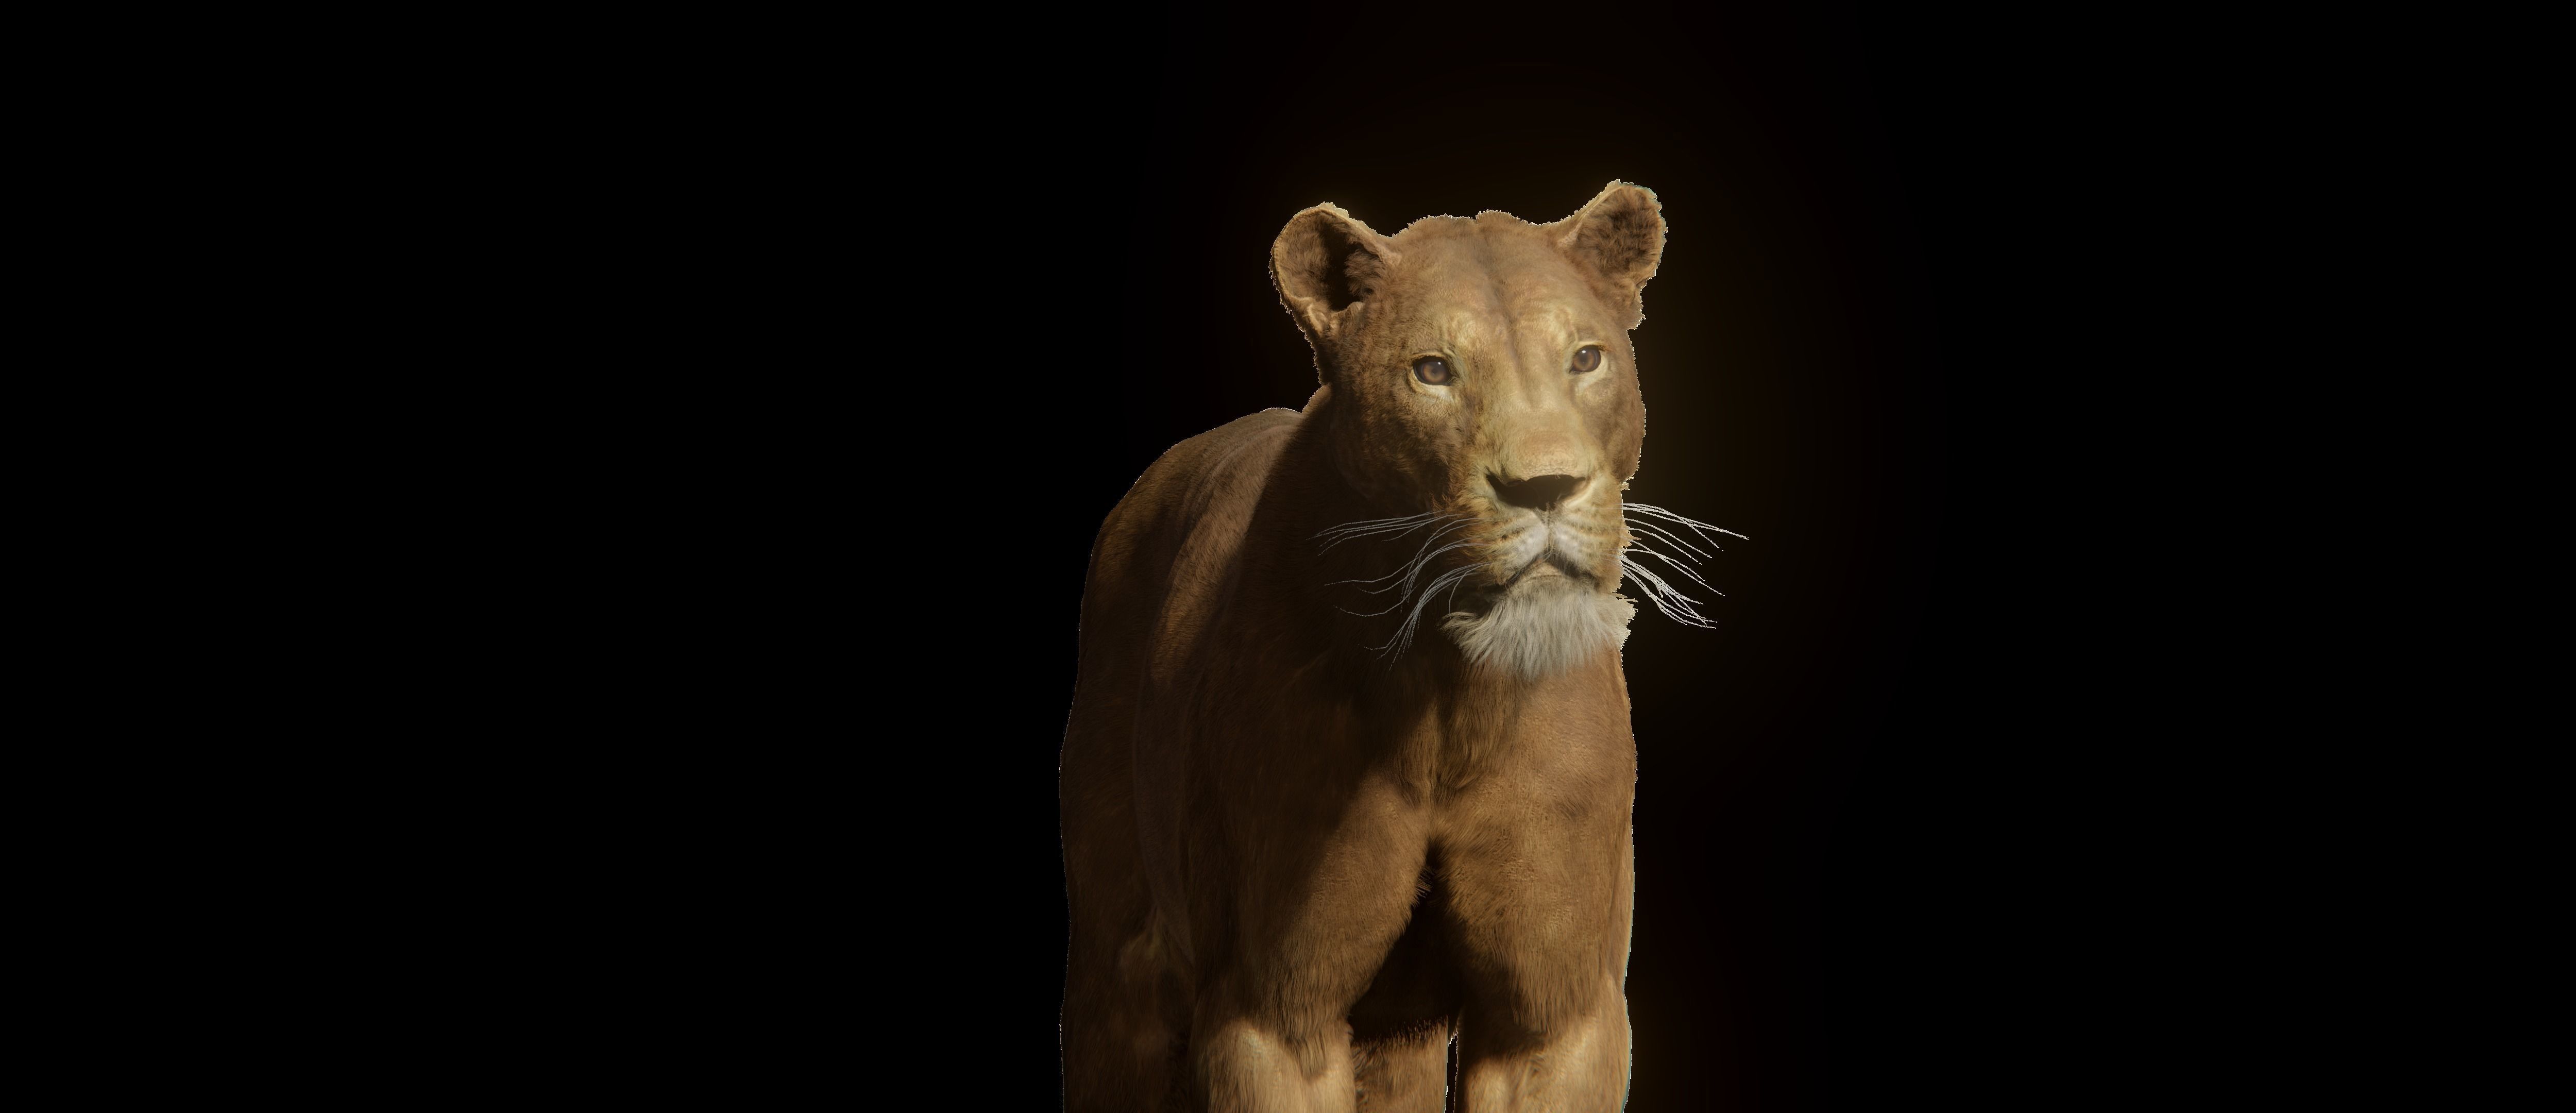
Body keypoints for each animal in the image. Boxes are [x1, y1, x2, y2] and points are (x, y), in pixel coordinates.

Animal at [1061, 182, 1726, 1112]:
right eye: (1434, 371)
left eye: (1587, 359)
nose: (1545, 487)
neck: (1449, 704)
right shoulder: (1272, 1016)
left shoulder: (1554, 1021)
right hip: (1117, 970)